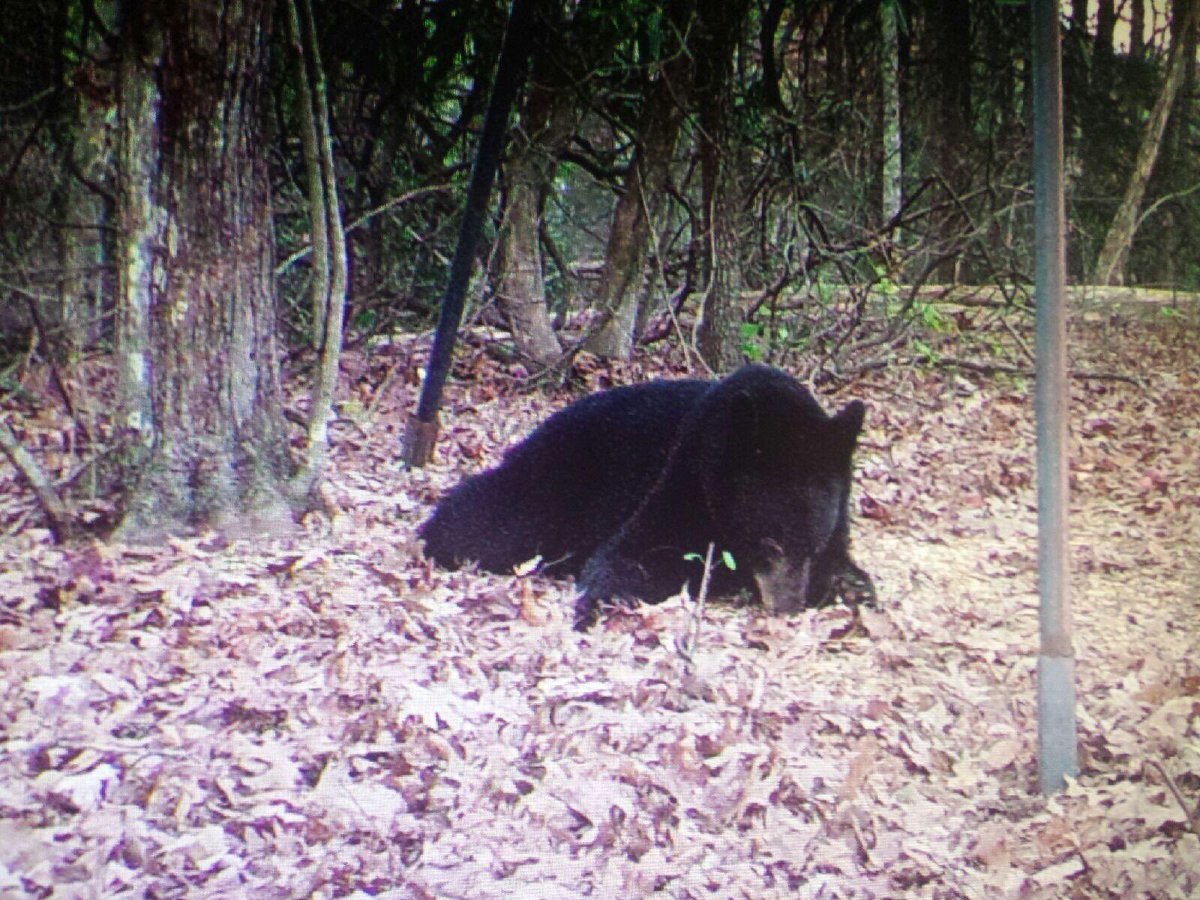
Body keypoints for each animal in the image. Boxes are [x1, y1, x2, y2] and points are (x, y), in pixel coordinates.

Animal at [419, 364, 874, 629]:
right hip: (557, 480)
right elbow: (631, 553)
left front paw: (849, 586)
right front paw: (597, 605)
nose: (790, 607)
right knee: (487, 523)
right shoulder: (684, 478)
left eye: (813, 546)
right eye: (770, 544)